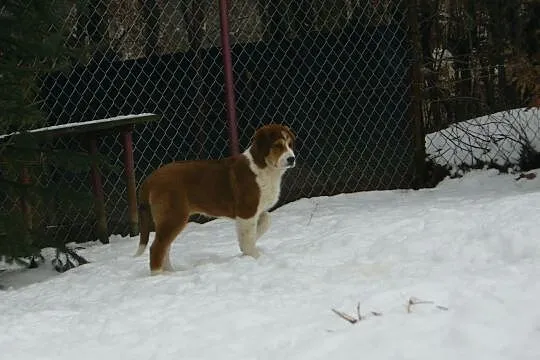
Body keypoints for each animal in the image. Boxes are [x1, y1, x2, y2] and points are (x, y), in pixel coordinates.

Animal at [134, 122, 296, 274]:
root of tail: (151, 177)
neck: (263, 166)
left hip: (169, 219)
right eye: (277, 145)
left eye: (290, 145)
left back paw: (171, 273)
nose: (292, 159)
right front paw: (253, 257)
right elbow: (248, 238)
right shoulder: (246, 212)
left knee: (165, 246)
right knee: (157, 247)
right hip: (174, 215)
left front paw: (245, 249)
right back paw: (158, 276)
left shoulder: (257, 211)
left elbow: (265, 221)